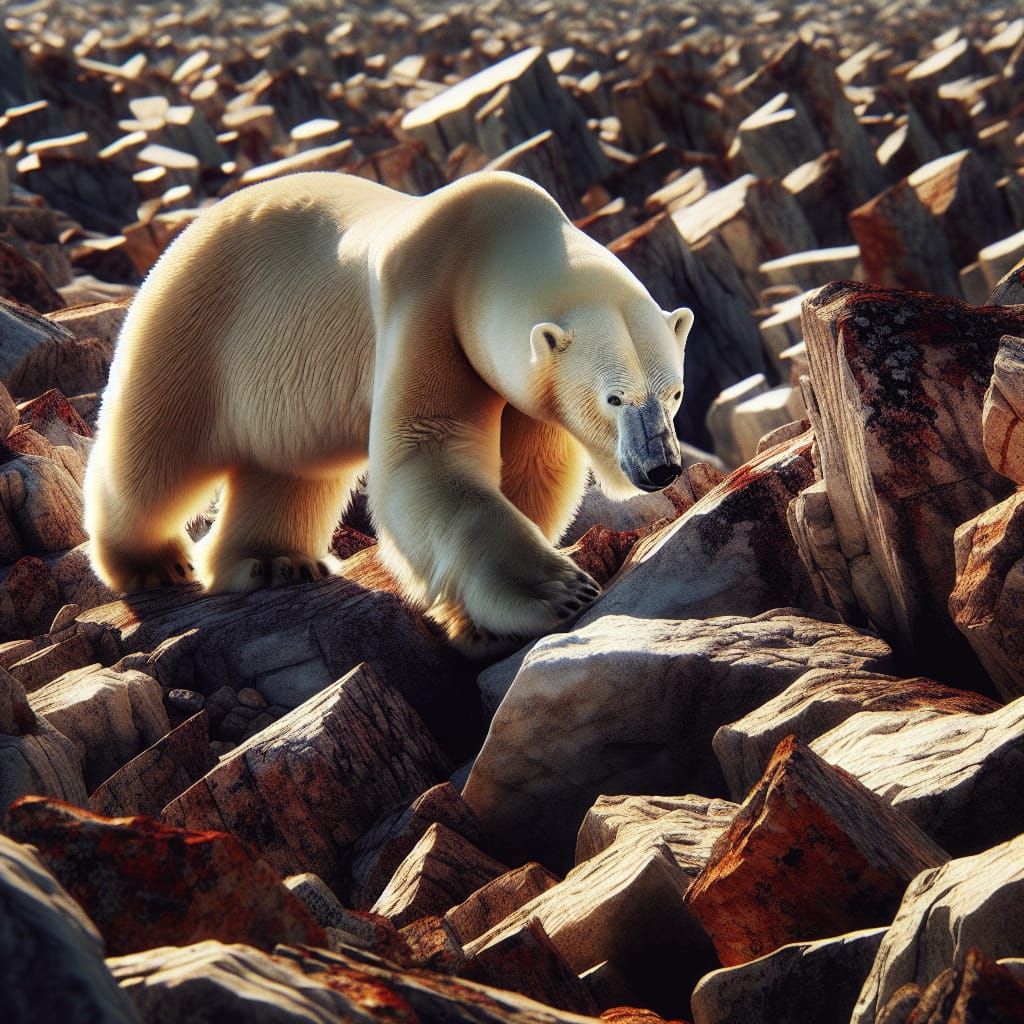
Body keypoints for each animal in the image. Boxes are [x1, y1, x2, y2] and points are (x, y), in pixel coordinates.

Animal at [83, 170, 693, 649]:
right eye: (614, 397)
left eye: (674, 392)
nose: (660, 467)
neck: (489, 243)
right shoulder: (426, 305)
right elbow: (425, 451)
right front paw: (558, 591)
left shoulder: (525, 389)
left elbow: (532, 470)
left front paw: (476, 621)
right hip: (195, 324)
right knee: (157, 455)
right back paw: (150, 562)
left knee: (289, 469)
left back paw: (276, 563)